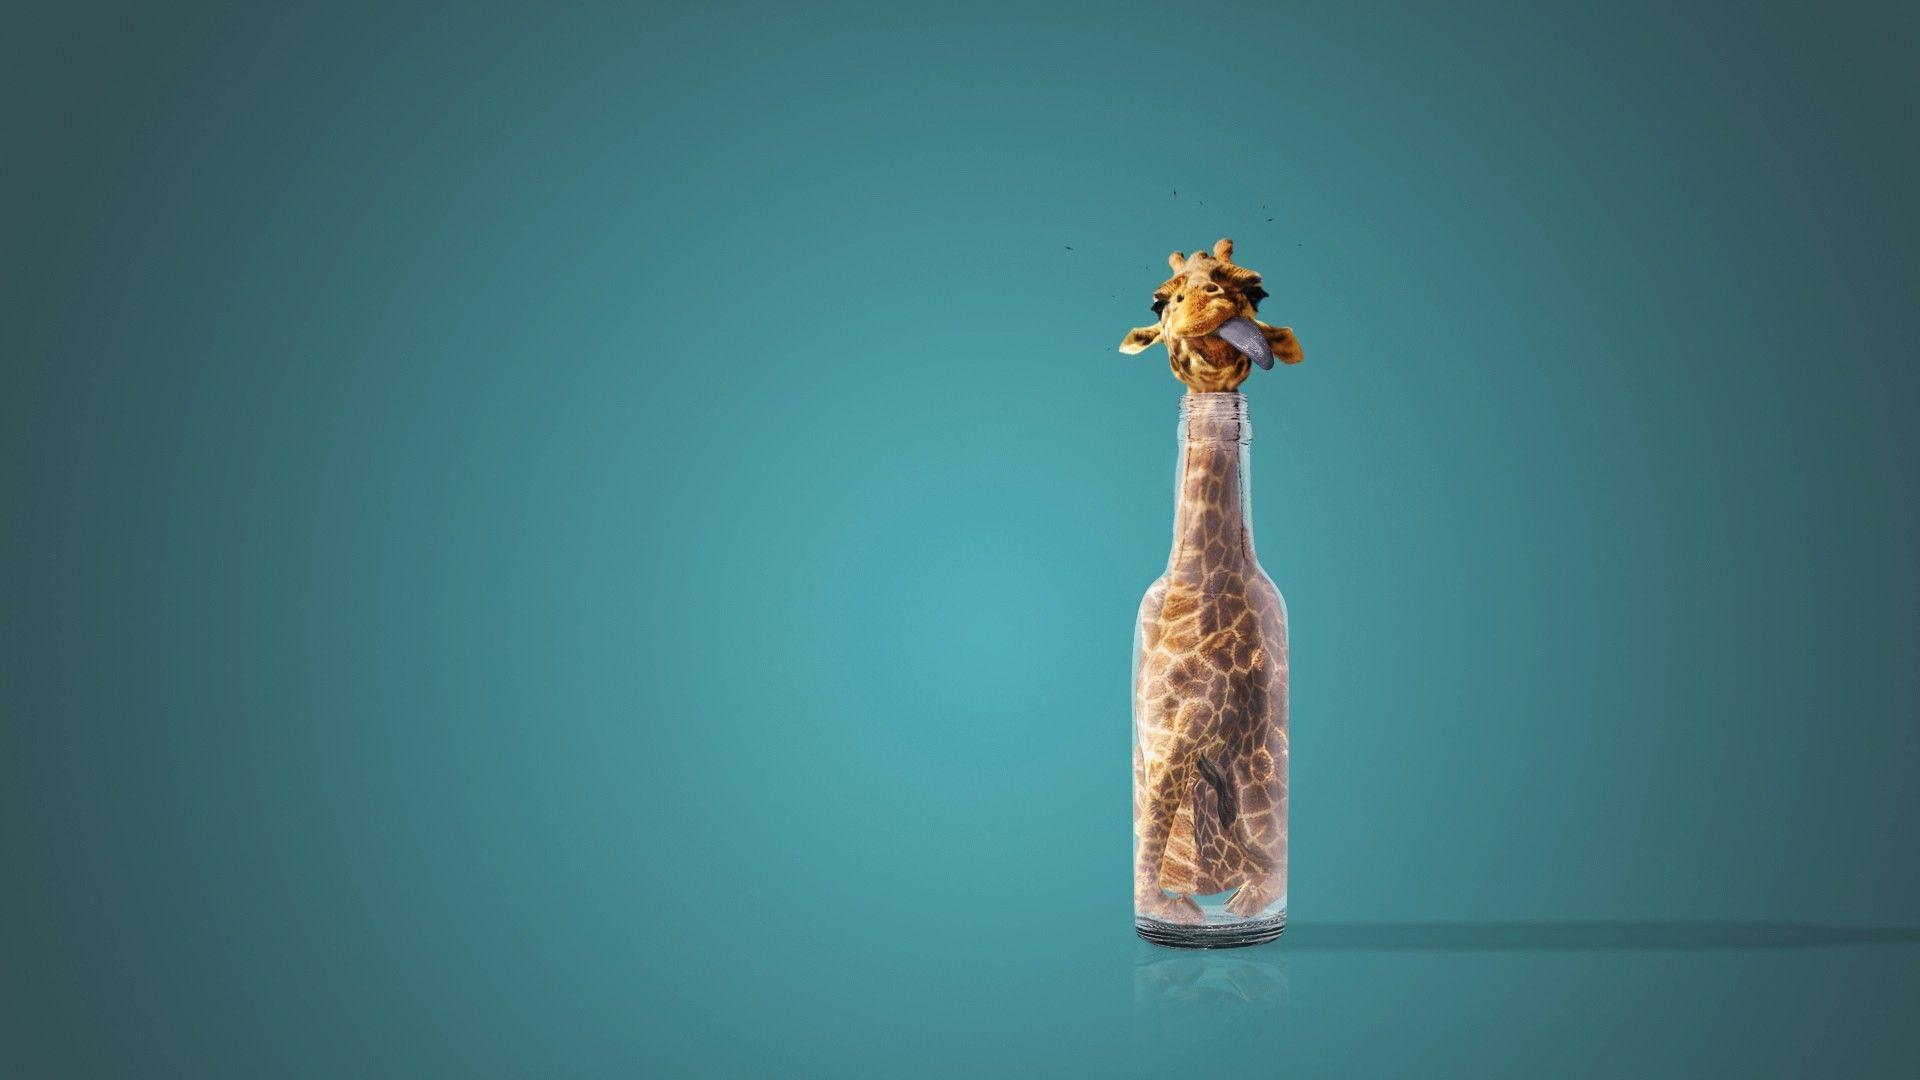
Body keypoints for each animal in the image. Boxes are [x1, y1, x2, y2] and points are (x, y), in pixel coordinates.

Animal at [1122, 239, 1298, 930]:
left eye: (1257, 289)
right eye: (1159, 301)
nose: (1215, 306)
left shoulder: (1199, 718)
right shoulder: (1161, 724)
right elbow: (1152, 817)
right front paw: (1169, 912)